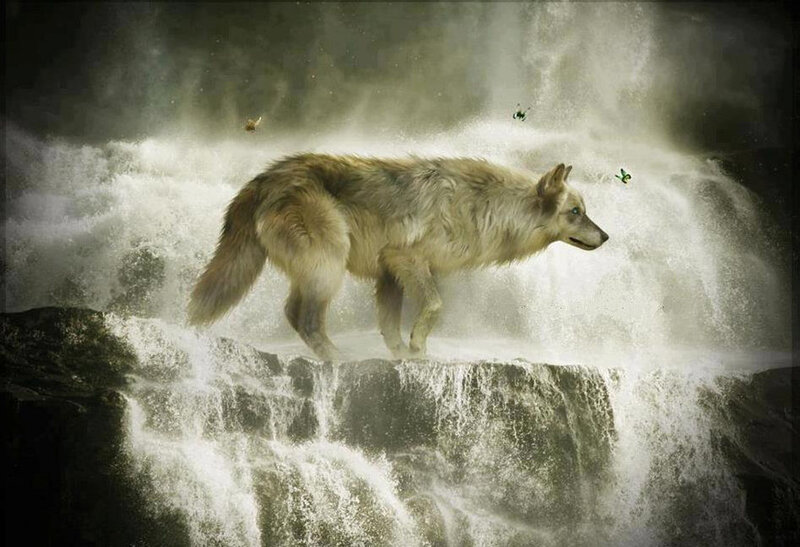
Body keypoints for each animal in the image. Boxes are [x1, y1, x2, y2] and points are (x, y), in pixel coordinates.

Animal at [188, 154, 608, 360]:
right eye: (575, 212)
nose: (606, 236)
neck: (483, 206)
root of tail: (263, 179)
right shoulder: (407, 259)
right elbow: (435, 305)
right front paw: (418, 347)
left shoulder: (388, 272)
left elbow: (389, 324)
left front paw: (403, 356)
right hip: (329, 267)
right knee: (304, 318)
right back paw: (339, 359)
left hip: (318, 269)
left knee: (294, 312)